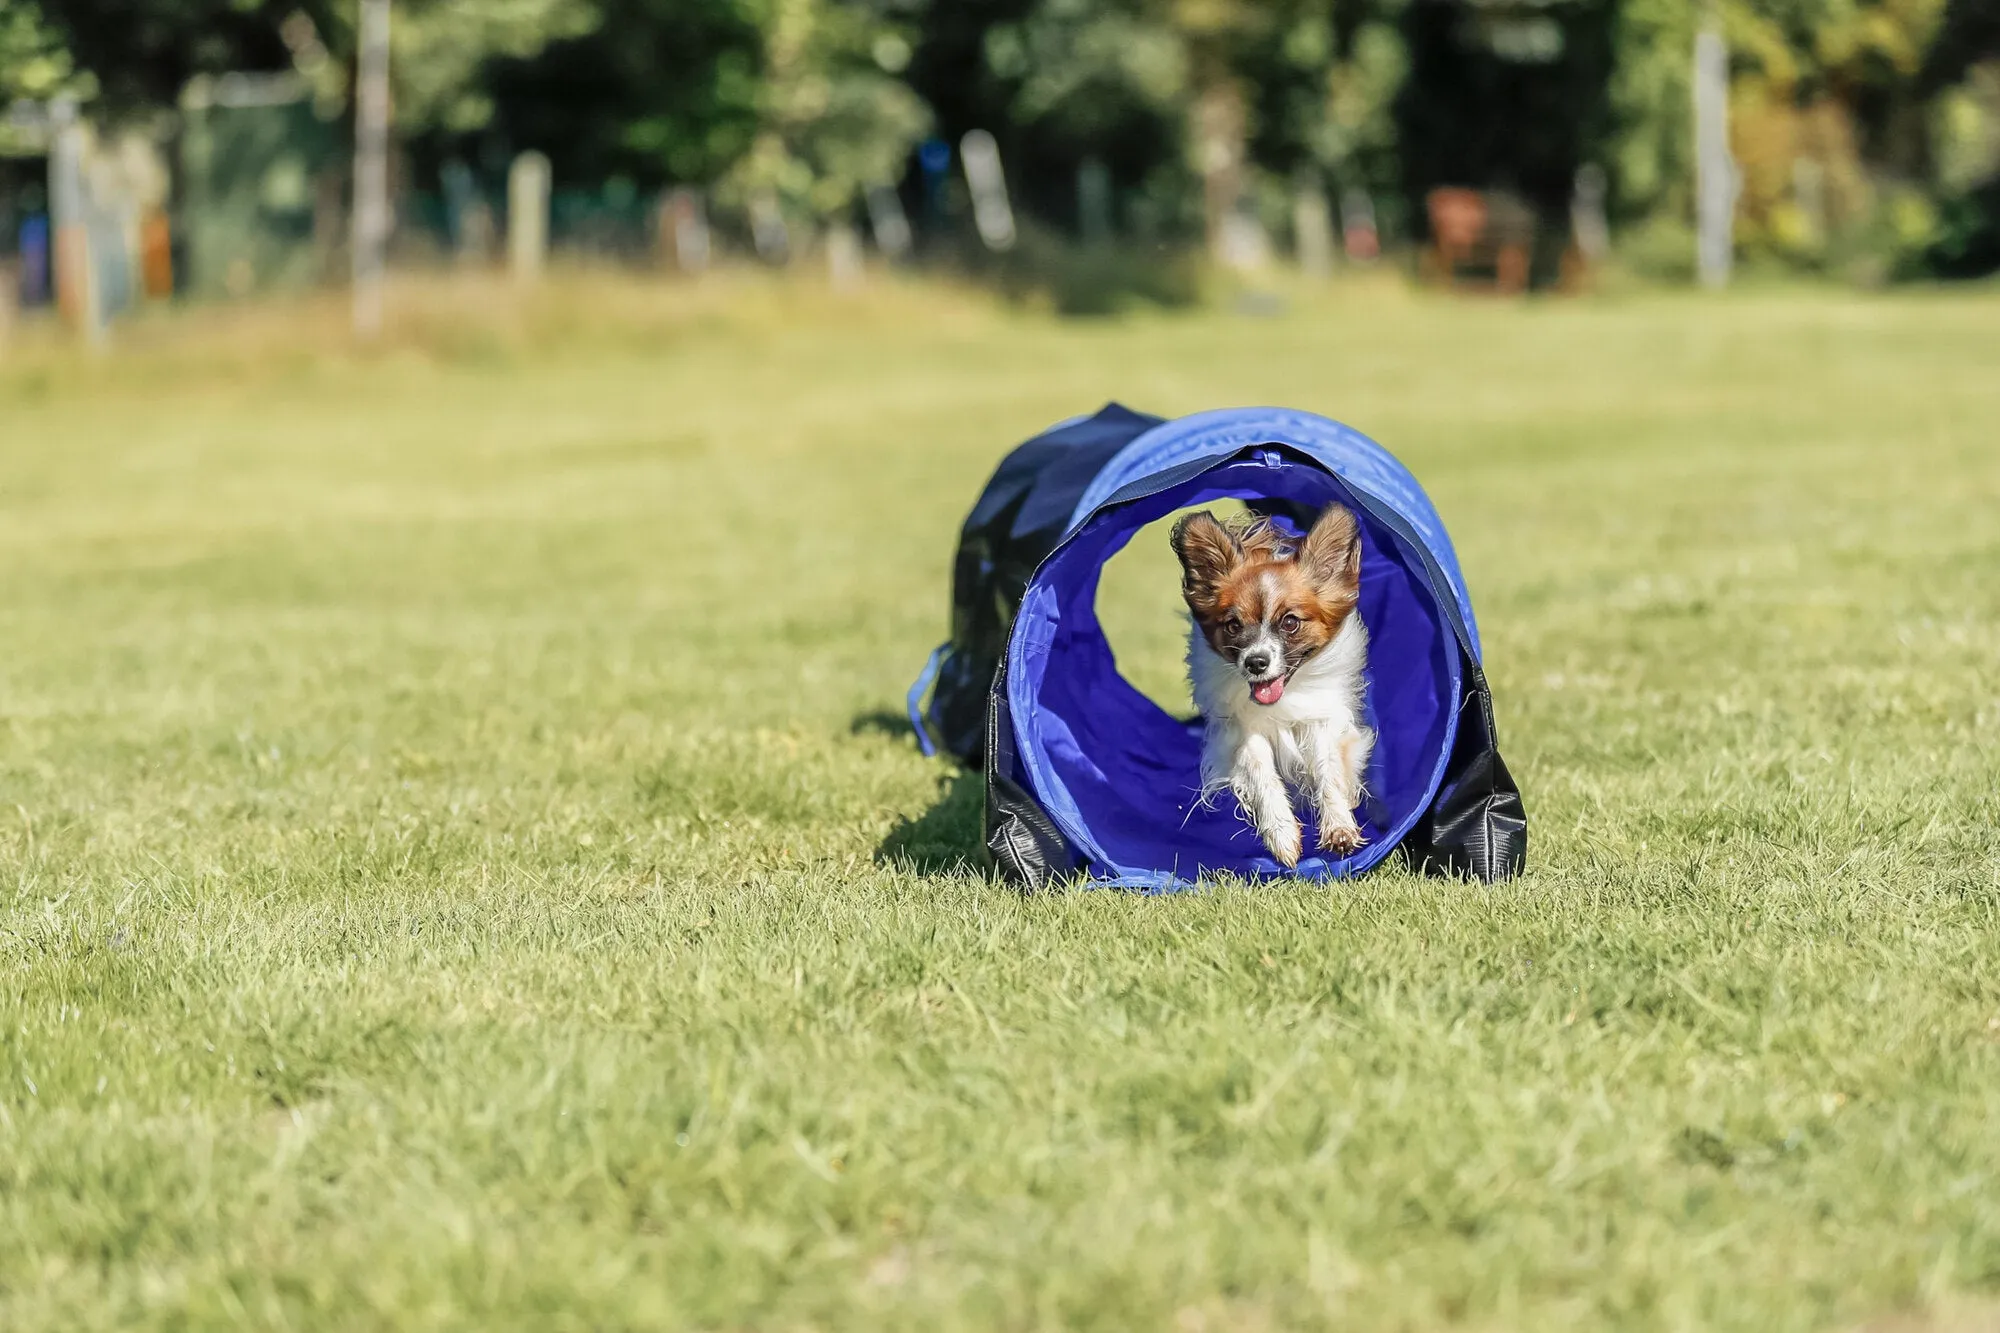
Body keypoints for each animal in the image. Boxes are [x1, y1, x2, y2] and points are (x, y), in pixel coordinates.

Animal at [1168, 504, 1376, 868]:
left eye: (1290, 622)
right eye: (1233, 625)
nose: (1255, 663)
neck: (1285, 697)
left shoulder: (1321, 716)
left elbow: (1328, 771)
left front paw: (1339, 827)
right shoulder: (1242, 727)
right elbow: (1261, 772)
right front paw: (1280, 832)